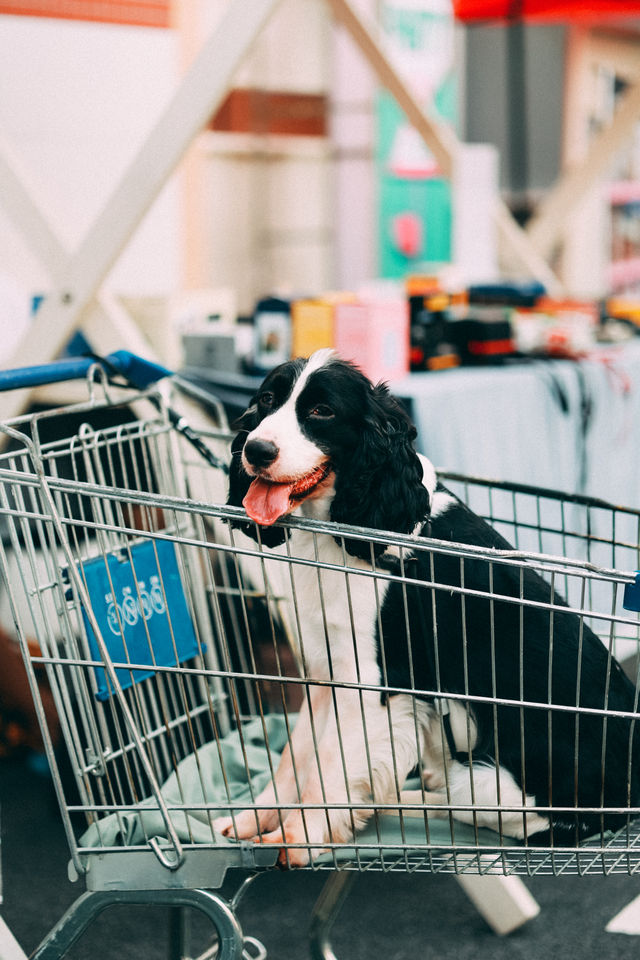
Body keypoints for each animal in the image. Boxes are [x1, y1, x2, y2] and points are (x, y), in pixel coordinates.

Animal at [215, 348, 640, 868]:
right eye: (267, 401)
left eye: (321, 411)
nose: (256, 450)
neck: (359, 530)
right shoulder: (327, 665)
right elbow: (296, 756)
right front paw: (256, 819)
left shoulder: (376, 680)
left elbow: (330, 766)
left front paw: (301, 837)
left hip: (488, 779)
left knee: (477, 808)